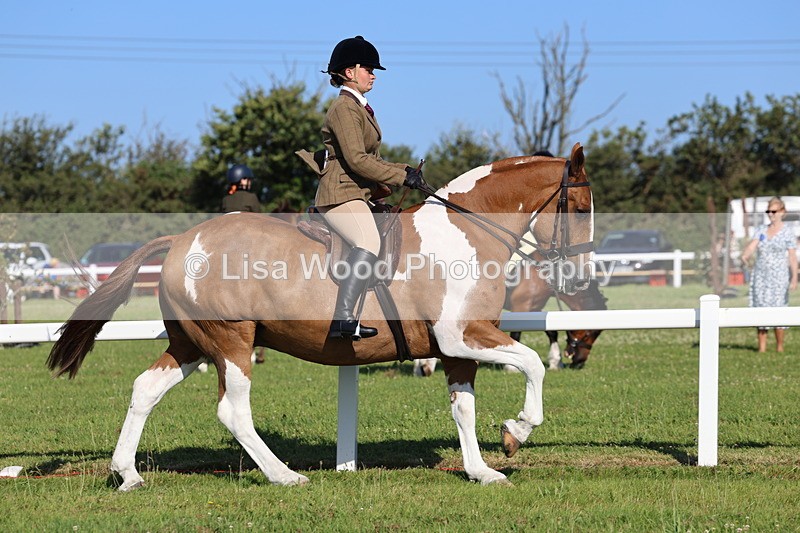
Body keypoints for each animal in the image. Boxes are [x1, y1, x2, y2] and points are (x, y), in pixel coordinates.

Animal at [47, 143, 594, 489]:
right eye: (580, 207)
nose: (578, 279)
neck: (466, 232)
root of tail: (182, 239)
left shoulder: (457, 348)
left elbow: (464, 408)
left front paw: (482, 470)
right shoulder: (463, 335)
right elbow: (532, 365)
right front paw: (517, 431)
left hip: (191, 343)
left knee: (145, 389)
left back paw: (128, 475)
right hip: (231, 342)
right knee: (233, 411)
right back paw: (284, 475)